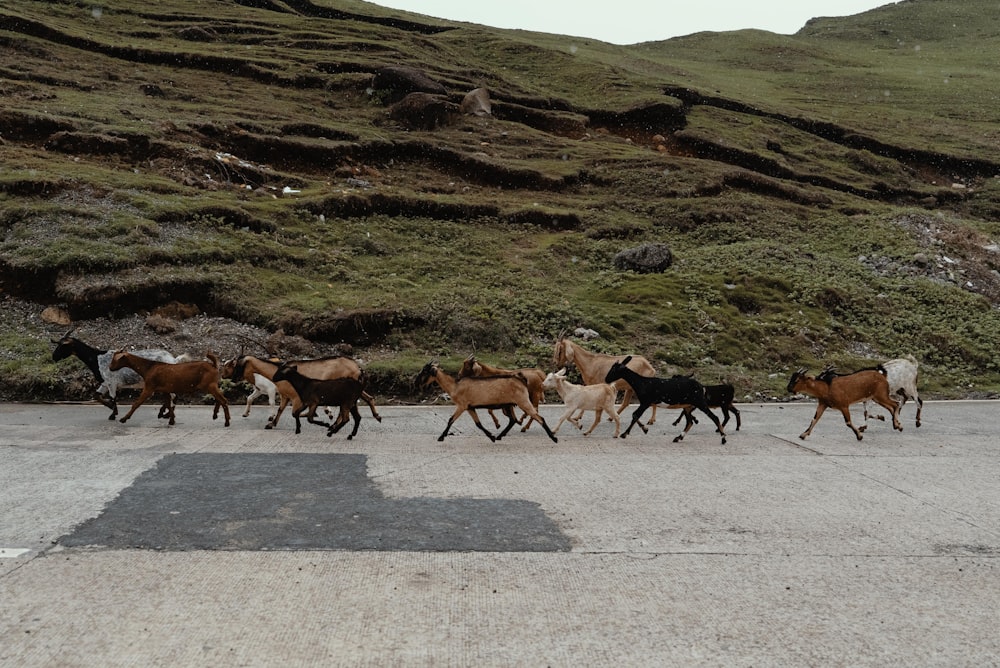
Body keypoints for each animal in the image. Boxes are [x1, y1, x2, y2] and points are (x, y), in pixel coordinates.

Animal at [50, 332, 185, 420]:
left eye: (63, 346)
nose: (54, 357)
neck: (97, 359)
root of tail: (173, 359)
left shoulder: (111, 382)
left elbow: (113, 398)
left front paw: (113, 414)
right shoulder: (105, 383)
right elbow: (97, 395)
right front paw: (111, 409)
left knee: (174, 396)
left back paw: (166, 414)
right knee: (172, 396)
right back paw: (164, 413)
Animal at [412, 360, 560, 444]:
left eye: (425, 372)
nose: (416, 383)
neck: (455, 386)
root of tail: (521, 380)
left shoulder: (462, 405)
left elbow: (450, 420)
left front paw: (441, 437)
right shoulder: (470, 407)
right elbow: (478, 424)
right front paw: (491, 437)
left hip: (523, 401)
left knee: (539, 417)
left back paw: (553, 438)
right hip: (510, 404)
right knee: (513, 420)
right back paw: (500, 436)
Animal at [600, 358, 728, 446]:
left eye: (614, 369)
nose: (606, 379)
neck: (642, 383)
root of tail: (702, 387)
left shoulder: (646, 402)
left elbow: (635, 415)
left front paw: (625, 434)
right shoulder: (646, 403)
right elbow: (635, 415)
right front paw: (644, 429)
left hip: (700, 402)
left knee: (714, 417)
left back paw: (723, 438)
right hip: (688, 405)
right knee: (690, 422)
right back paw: (678, 437)